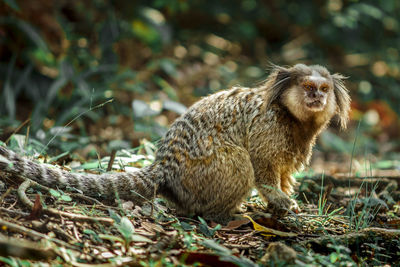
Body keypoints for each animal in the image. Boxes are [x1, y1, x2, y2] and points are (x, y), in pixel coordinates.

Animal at [0, 63, 350, 223]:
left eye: (323, 89)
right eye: (308, 88)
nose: (318, 97)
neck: (292, 118)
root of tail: (165, 166)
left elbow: (284, 174)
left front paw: (285, 200)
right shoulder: (268, 130)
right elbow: (262, 168)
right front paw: (278, 199)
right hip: (206, 171)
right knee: (239, 162)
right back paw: (227, 214)